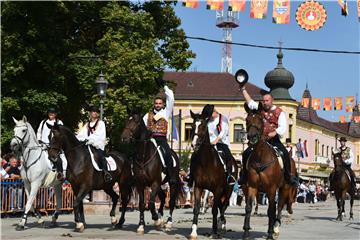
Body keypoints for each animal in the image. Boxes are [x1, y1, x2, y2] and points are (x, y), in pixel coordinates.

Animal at [188, 110, 236, 238]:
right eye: (192, 126)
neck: (206, 162)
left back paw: (222, 225)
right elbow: (196, 208)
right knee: (220, 206)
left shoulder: (217, 189)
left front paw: (214, 231)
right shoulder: (198, 187)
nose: (194, 144)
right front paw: (193, 232)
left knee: (223, 206)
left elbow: (215, 210)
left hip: (228, 190)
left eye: (204, 127)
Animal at [243, 103, 286, 240]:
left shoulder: (271, 188)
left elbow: (272, 210)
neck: (261, 158)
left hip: (284, 188)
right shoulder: (252, 186)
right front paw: (246, 232)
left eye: (260, 120)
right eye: (247, 120)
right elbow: (248, 207)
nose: (252, 137)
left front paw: (270, 233)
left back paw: (275, 229)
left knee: (278, 208)